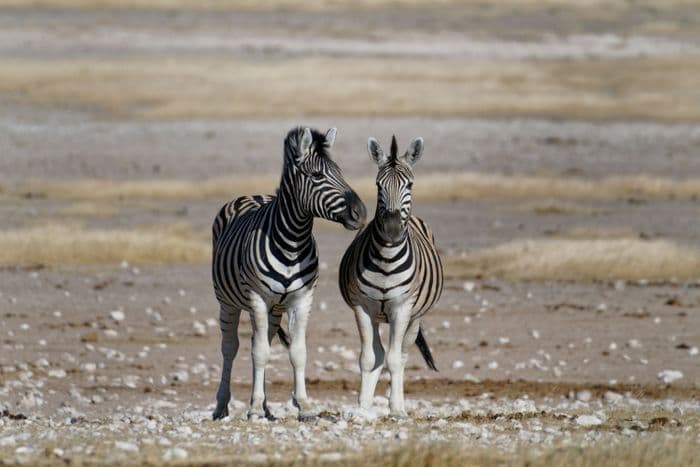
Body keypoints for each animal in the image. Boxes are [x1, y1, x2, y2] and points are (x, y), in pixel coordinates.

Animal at [211, 126, 366, 421]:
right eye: (317, 176)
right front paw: (253, 409)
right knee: (230, 347)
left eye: (339, 172)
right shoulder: (257, 297)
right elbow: (259, 353)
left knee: (263, 341)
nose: (361, 213)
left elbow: (297, 351)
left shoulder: (301, 299)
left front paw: (303, 406)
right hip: (229, 302)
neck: (292, 240)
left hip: (274, 309)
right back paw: (222, 406)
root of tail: (253, 194)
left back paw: (265, 407)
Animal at [339, 135, 443, 418]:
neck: (386, 259)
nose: (393, 229)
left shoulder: (402, 307)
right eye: (378, 185)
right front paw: (362, 408)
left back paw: (397, 404)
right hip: (377, 314)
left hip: (415, 317)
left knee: (402, 354)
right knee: (378, 352)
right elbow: (368, 358)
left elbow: (395, 359)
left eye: (410, 184)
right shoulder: (362, 307)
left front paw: (396, 410)